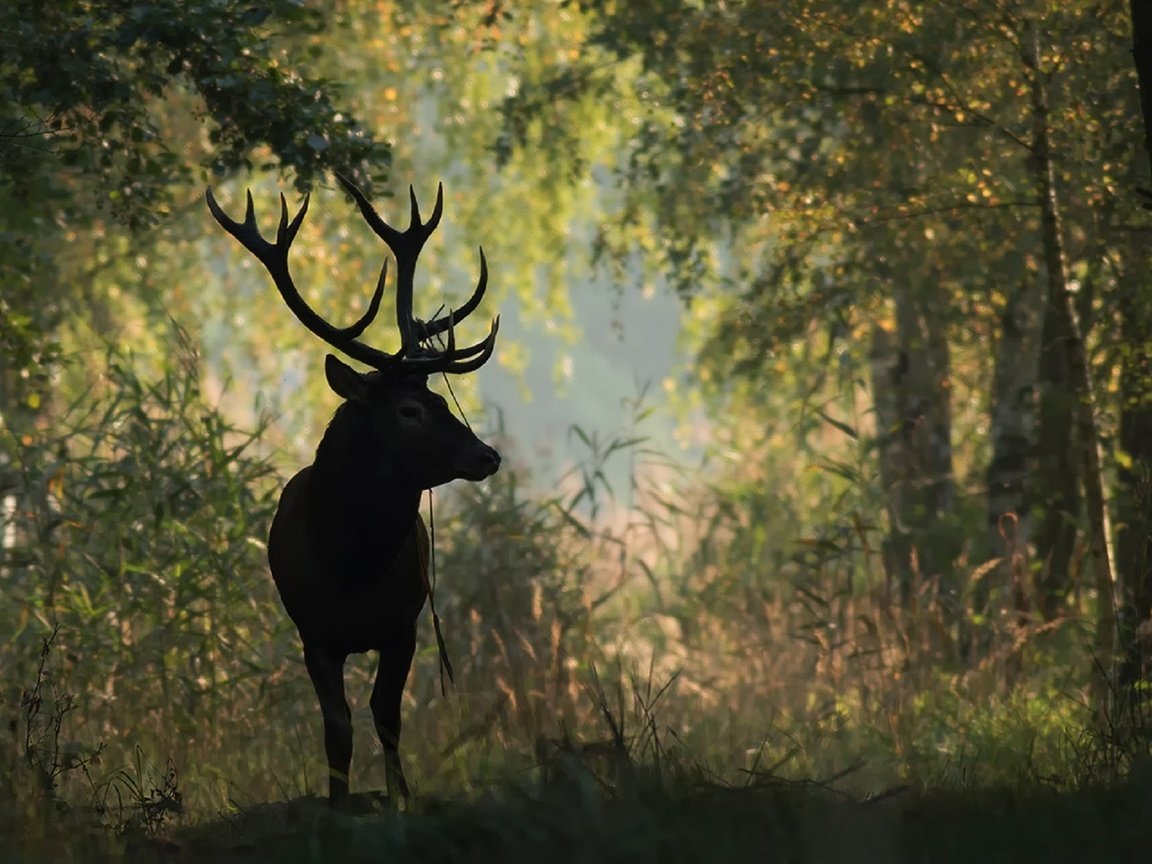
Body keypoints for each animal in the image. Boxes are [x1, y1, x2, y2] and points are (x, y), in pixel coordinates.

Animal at [206, 172, 499, 811]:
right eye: (410, 409)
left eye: (440, 399)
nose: (487, 455)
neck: (351, 569)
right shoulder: (313, 634)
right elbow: (336, 728)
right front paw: (338, 805)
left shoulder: (403, 625)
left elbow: (386, 716)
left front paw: (398, 799)